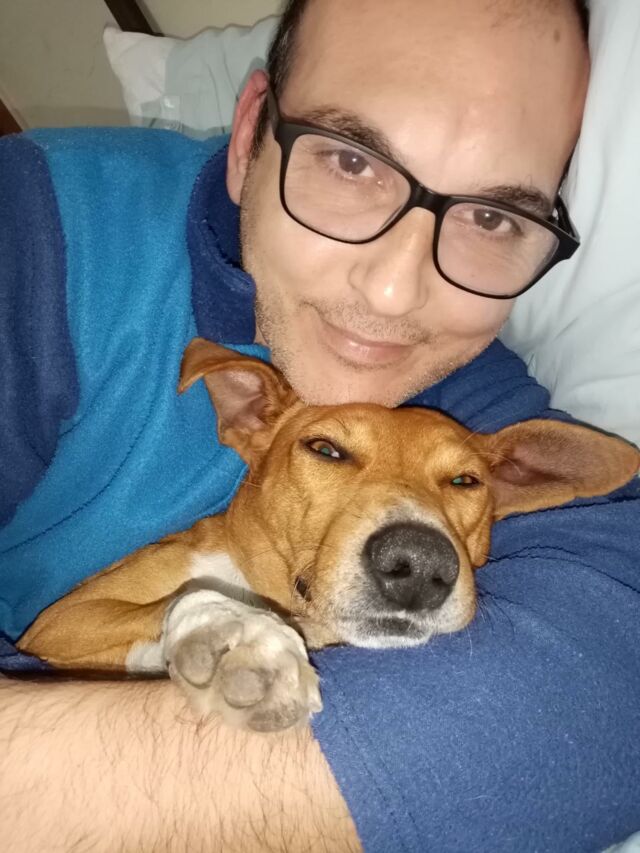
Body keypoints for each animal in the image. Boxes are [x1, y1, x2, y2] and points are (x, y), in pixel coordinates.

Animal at [18, 338, 640, 732]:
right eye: (326, 449)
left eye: (466, 481)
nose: (418, 565)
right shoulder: (60, 621)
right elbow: (184, 600)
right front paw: (238, 634)